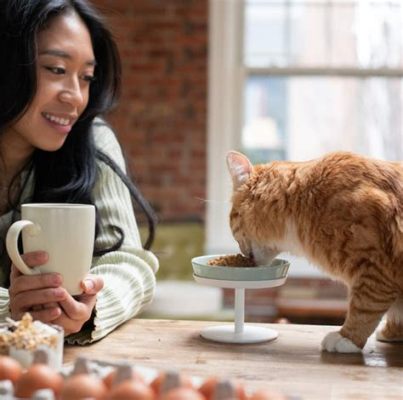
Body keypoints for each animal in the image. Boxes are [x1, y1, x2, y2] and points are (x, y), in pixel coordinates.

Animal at [227, 151, 403, 354]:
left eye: (232, 218)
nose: (240, 251)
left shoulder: (374, 266)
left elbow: (364, 306)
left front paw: (347, 337)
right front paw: (391, 333)